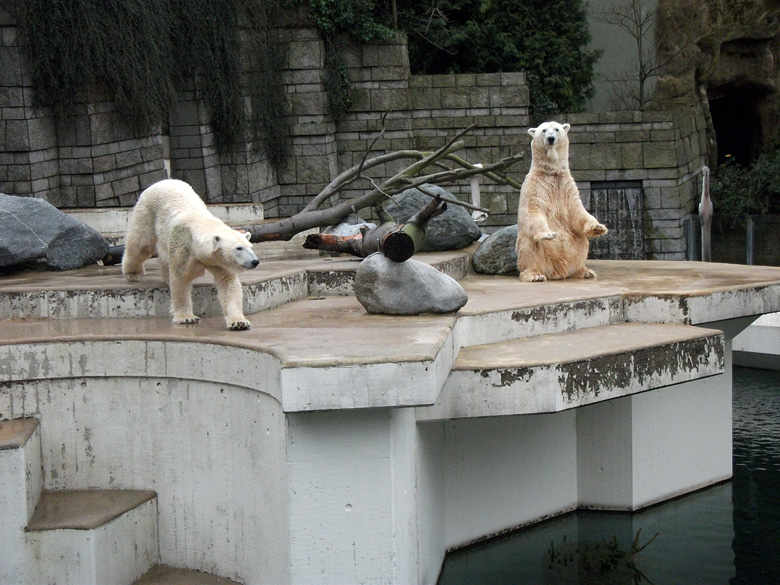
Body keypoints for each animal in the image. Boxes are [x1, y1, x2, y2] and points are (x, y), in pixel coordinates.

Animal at [122, 178, 260, 330]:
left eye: (250, 247)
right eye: (238, 248)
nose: (255, 261)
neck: (200, 223)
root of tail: (162, 181)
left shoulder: (219, 261)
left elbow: (228, 283)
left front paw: (239, 322)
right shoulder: (183, 247)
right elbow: (180, 280)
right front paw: (187, 317)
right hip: (148, 211)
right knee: (140, 244)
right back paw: (133, 273)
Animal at [516, 121, 608, 280]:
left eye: (557, 129)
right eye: (544, 130)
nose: (551, 138)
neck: (552, 173)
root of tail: (558, 271)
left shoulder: (567, 187)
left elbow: (578, 211)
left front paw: (598, 227)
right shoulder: (534, 186)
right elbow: (532, 209)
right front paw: (548, 234)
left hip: (576, 247)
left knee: (583, 243)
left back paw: (584, 271)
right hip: (535, 253)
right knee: (529, 247)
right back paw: (535, 275)